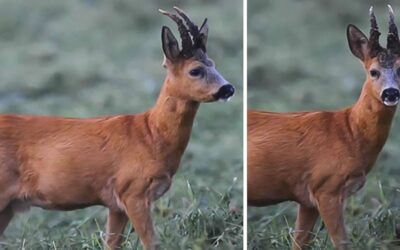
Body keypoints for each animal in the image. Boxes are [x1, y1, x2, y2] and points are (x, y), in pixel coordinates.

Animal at [0, 6, 234, 249]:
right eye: (195, 70)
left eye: (214, 64)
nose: (228, 89)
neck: (152, 136)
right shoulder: (134, 191)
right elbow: (152, 242)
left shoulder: (116, 204)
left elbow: (112, 243)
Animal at [248, 5, 398, 250]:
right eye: (373, 71)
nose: (391, 93)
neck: (350, 133)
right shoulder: (327, 188)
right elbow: (342, 242)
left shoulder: (308, 200)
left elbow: (300, 243)